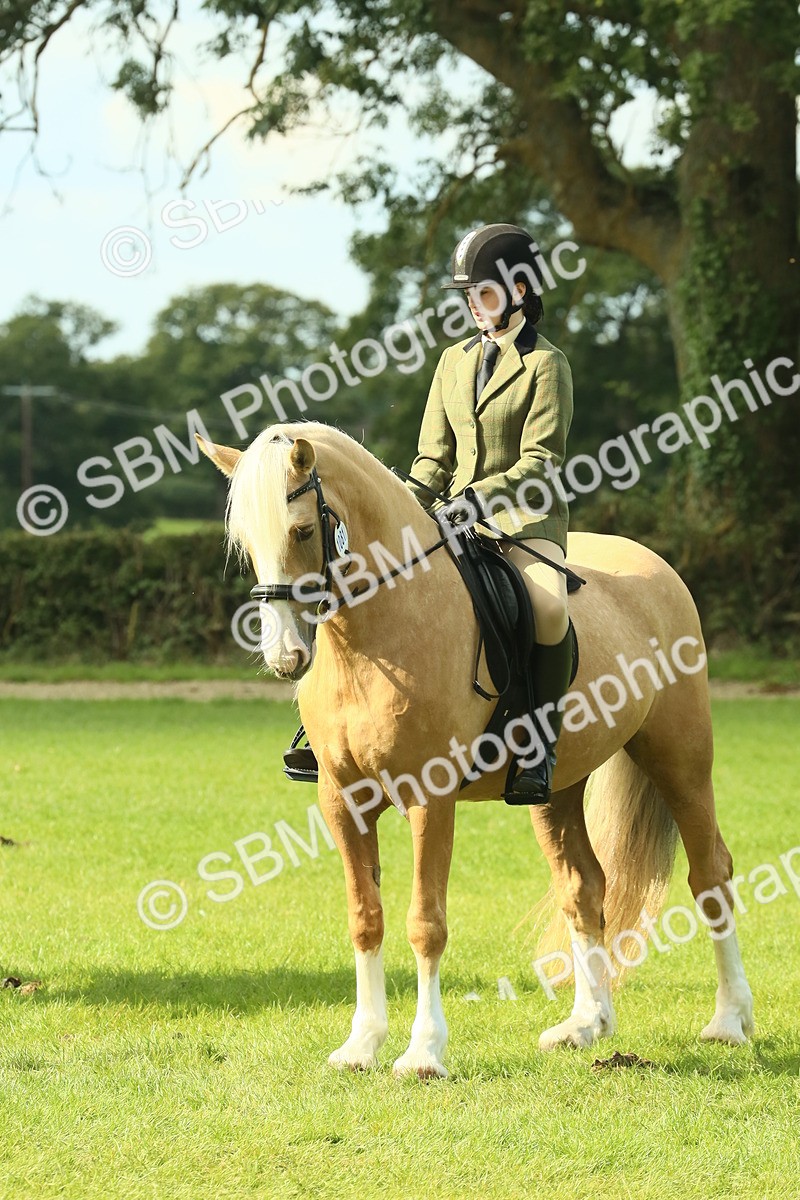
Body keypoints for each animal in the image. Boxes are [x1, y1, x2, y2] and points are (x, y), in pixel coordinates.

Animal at [198, 421, 754, 1078]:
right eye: (245, 544)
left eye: (304, 530)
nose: (286, 657)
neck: (380, 629)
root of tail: (657, 569)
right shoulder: (342, 801)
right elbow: (365, 918)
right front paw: (361, 1044)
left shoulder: (429, 798)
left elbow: (425, 923)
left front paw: (423, 1052)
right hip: (556, 789)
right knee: (584, 887)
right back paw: (585, 1025)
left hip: (680, 759)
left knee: (710, 873)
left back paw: (729, 1021)